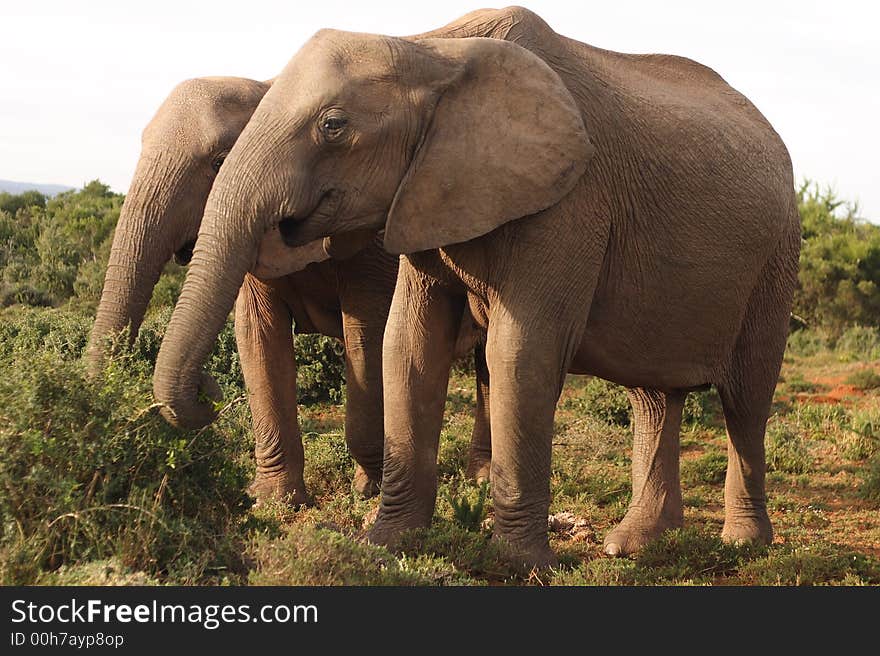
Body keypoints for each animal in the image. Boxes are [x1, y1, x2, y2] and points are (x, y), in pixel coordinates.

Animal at [84, 74, 488, 504]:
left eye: (218, 163)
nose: (206, 387)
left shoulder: (372, 244)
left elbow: (367, 335)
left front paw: (368, 489)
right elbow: (257, 336)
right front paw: (274, 499)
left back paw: (479, 481)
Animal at [155, 3, 800, 564]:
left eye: (333, 127)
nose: (208, 393)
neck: (433, 48)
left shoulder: (570, 200)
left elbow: (520, 352)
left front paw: (515, 563)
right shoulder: (426, 193)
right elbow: (408, 347)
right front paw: (386, 544)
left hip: (776, 259)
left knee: (746, 399)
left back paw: (744, 544)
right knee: (654, 397)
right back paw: (636, 544)